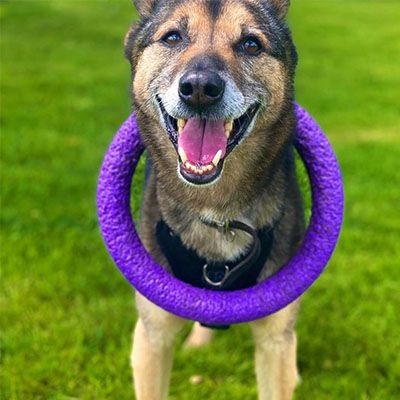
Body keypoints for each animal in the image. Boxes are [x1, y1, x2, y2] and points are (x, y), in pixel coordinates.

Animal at [124, 1, 304, 398]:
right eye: (172, 37)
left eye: (251, 44)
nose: (200, 89)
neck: (216, 209)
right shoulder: (152, 334)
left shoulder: (275, 337)